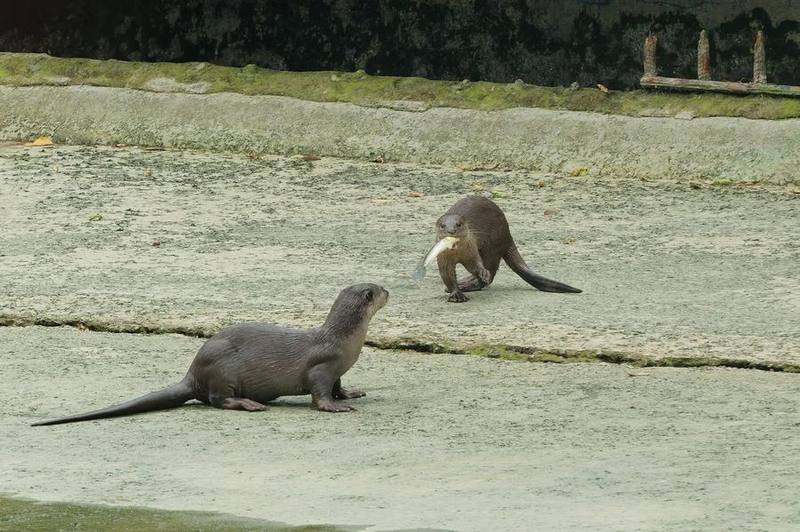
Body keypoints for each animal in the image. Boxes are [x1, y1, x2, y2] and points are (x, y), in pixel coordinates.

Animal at [32, 283, 389, 426]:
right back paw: (249, 404)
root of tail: (193, 373)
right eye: (375, 290)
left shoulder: (337, 370)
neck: (344, 342)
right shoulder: (321, 367)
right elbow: (319, 393)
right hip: (223, 371)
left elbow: (339, 386)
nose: (389, 289)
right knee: (217, 400)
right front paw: (336, 407)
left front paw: (351, 393)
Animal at [434, 196, 581, 302]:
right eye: (442, 225)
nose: (451, 230)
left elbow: (476, 265)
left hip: (492, 245)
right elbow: (447, 275)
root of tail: (507, 234)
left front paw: (481, 274)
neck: (457, 254)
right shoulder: (443, 259)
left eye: (458, 224)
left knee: (491, 270)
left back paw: (470, 284)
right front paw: (456, 294)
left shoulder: (472, 251)